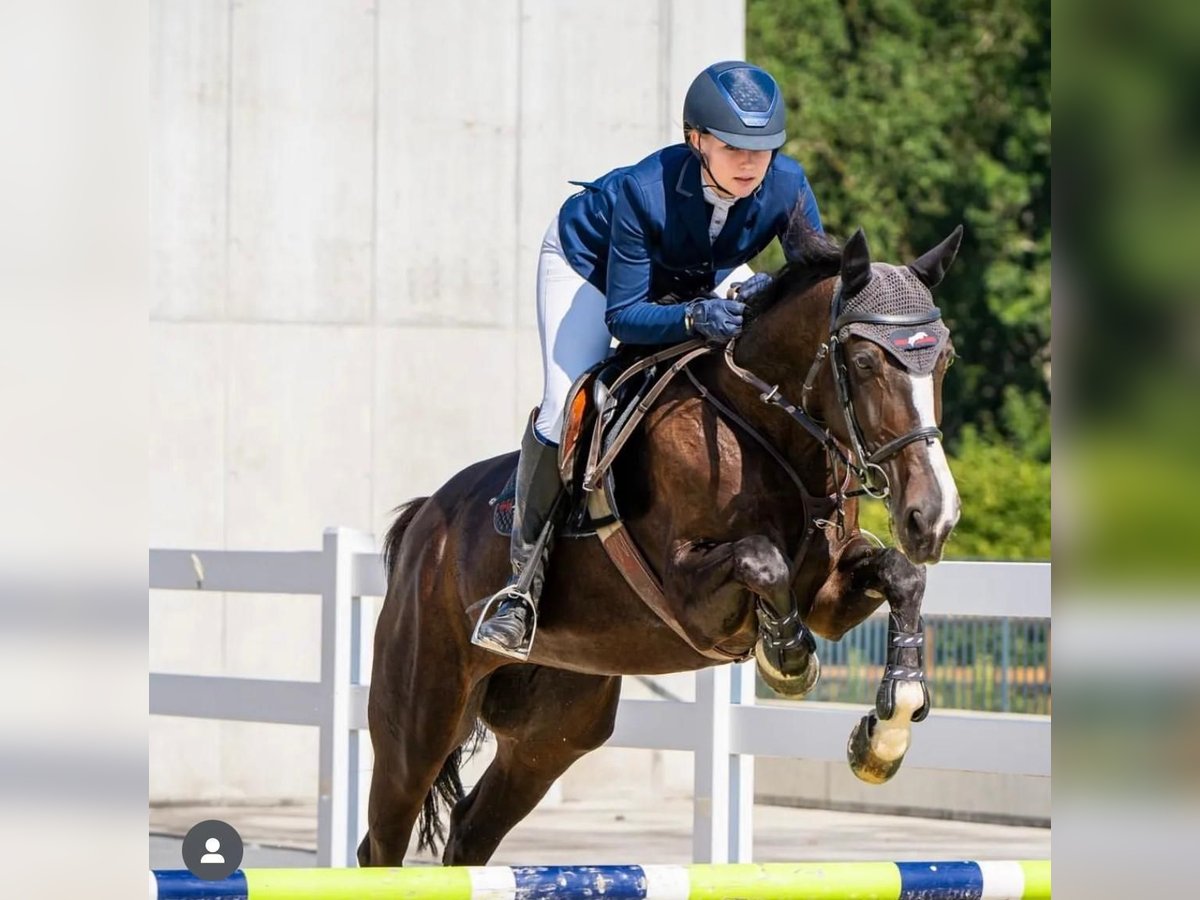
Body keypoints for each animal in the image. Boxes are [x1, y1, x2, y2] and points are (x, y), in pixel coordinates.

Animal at [357, 224, 964, 868]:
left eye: (945, 359)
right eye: (866, 360)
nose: (933, 516)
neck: (765, 429)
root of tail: (425, 521)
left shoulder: (828, 595)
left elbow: (901, 575)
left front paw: (887, 731)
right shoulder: (690, 597)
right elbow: (762, 560)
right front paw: (787, 658)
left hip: (552, 731)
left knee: (471, 830)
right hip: (421, 715)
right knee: (384, 838)